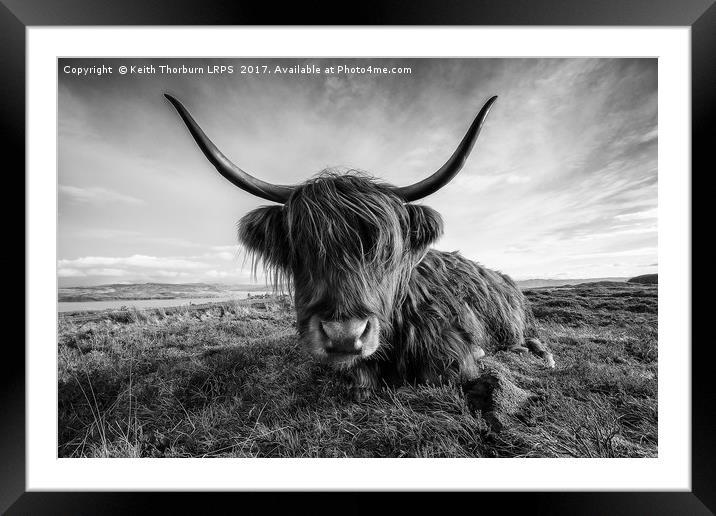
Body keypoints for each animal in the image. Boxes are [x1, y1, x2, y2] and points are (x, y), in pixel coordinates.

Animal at [166, 93, 552, 416]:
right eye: (302, 247)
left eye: (385, 249)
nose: (344, 336)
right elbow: (357, 383)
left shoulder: (453, 351)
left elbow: (452, 375)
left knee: (529, 340)